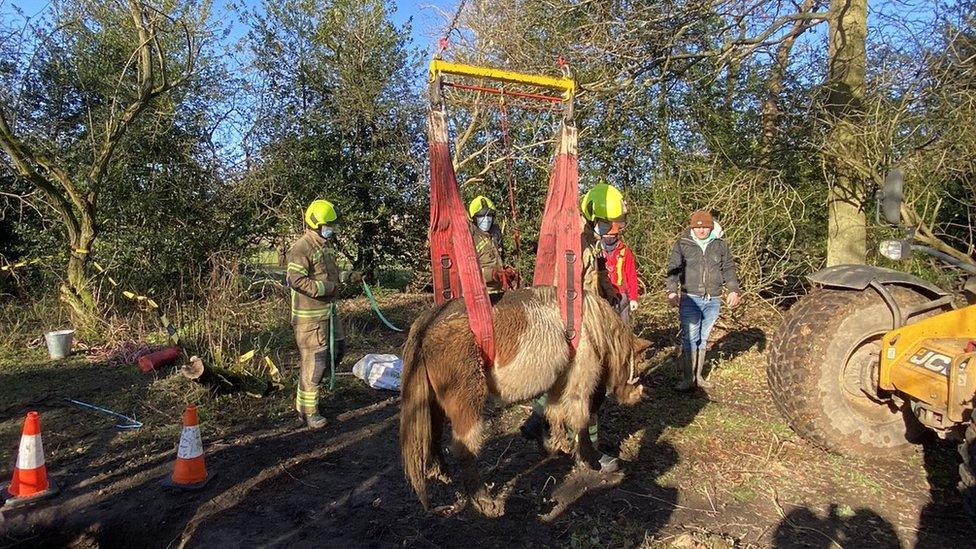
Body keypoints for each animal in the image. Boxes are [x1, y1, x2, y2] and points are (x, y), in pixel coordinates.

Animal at [400, 284, 652, 516]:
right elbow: (580, 419)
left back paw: (441, 472)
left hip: (433, 401)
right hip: (467, 403)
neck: (592, 327)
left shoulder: (559, 380)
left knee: (433, 431)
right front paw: (592, 461)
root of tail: (425, 324)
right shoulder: (579, 383)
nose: (639, 395)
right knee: (463, 448)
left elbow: (554, 411)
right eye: (638, 364)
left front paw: (556, 445)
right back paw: (486, 503)